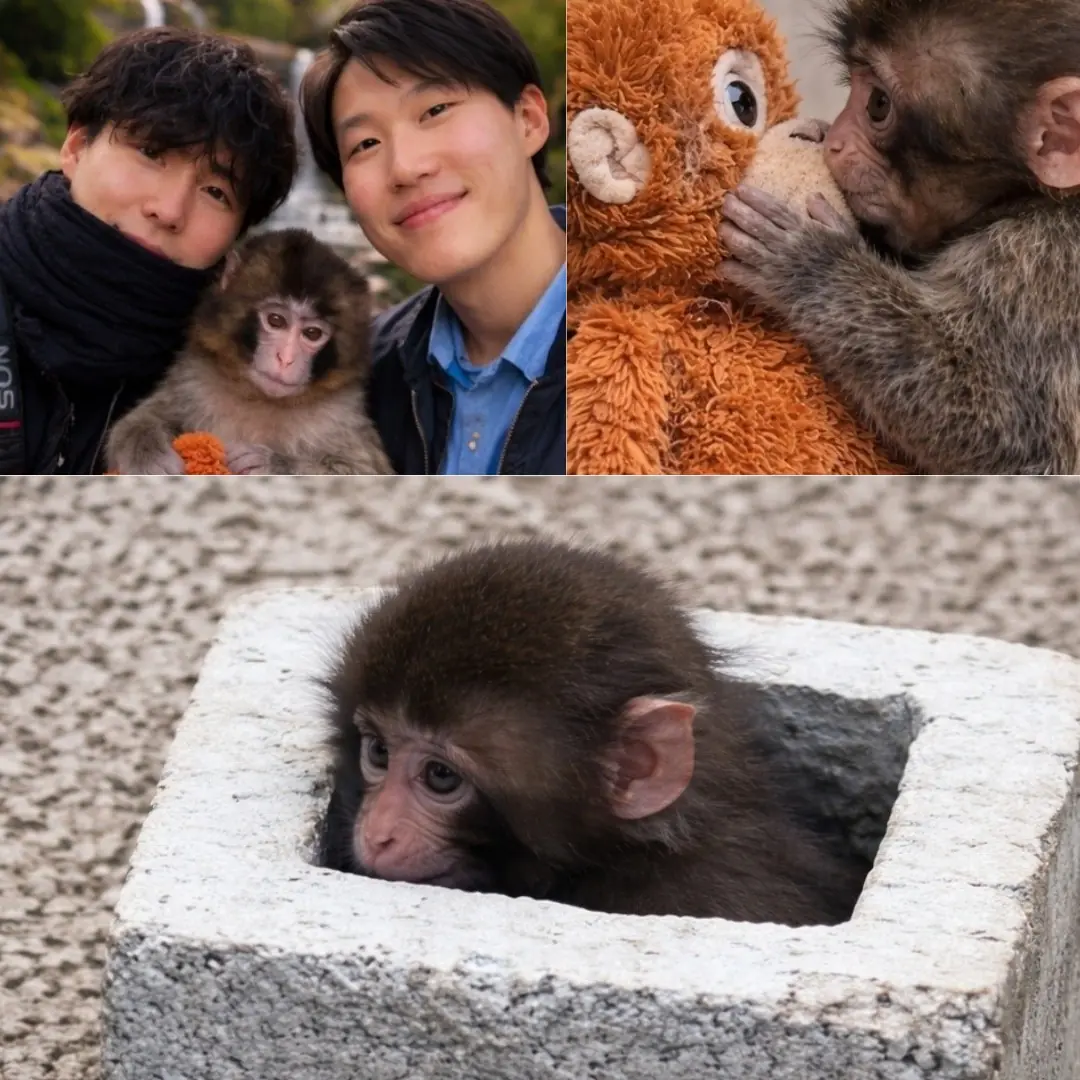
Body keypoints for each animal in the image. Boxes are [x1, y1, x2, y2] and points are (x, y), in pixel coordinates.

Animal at [105, 228, 393, 475]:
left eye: (312, 334)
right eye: (276, 320)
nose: (285, 359)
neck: (261, 398)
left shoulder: (341, 416)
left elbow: (365, 469)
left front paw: (273, 464)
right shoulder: (192, 380)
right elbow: (141, 418)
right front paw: (146, 452)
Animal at [718, 0, 1080, 475]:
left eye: (878, 104)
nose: (830, 139)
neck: (1030, 197)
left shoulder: (1042, 263)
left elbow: (1017, 446)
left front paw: (812, 266)